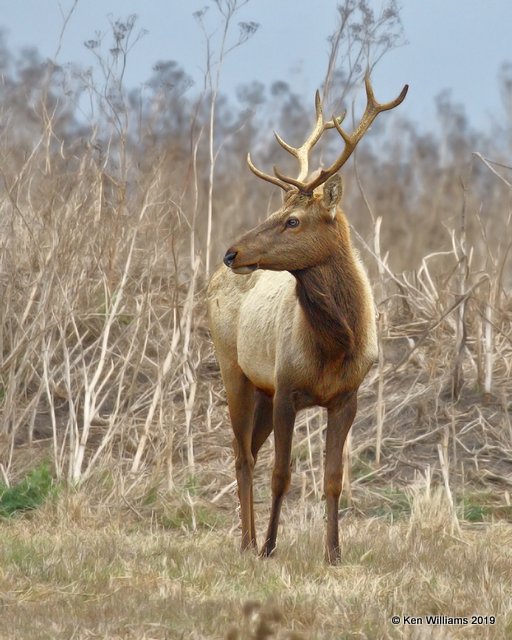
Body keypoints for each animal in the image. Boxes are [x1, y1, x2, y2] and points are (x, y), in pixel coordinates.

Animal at [206, 76, 410, 564]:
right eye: (276, 213)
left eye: (293, 220)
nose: (231, 252)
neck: (334, 347)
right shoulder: (286, 386)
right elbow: (281, 474)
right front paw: (270, 547)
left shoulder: (347, 397)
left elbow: (333, 479)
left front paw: (334, 553)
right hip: (234, 368)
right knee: (243, 456)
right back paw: (247, 542)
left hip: (259, 389)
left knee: (248, 450)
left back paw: (249, 538)